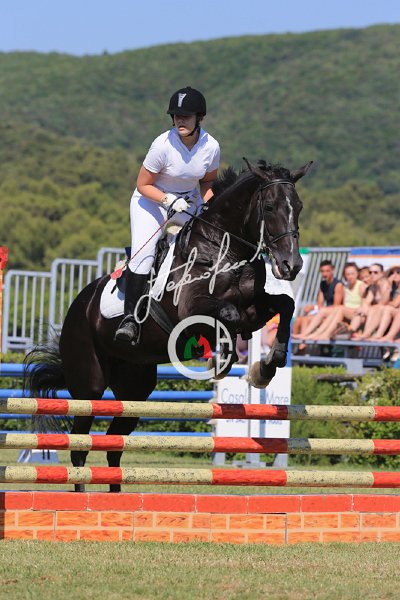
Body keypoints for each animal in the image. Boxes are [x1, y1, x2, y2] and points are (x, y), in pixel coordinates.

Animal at [24, 158, 312, 492]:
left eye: (298, 206)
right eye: (268, 207)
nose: (291, 265)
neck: (223, 250)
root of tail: (77, 307)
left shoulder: (255, 306)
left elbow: (285, 305)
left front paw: (265, 368)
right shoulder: (191, 314)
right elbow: (229, 314)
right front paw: (224, 361)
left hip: (134, 391)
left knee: (113, 446)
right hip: (89, 387)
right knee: (81, 446)